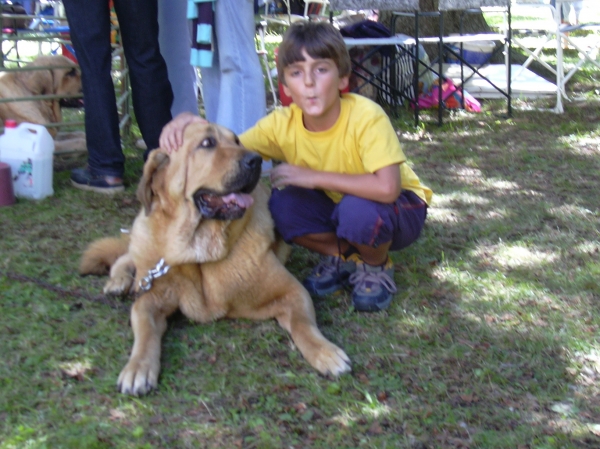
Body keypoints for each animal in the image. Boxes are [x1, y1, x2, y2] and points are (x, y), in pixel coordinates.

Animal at [79, 121, 352, 394]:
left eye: (236, 141)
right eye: (207, 143)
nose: (255, 160)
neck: (200, 251)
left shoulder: (291, 291)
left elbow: (303, 323)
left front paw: (325, 352)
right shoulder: (151, 298)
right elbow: (144, 327)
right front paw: (137, 367)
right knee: (126, 255)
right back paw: (118, 280)